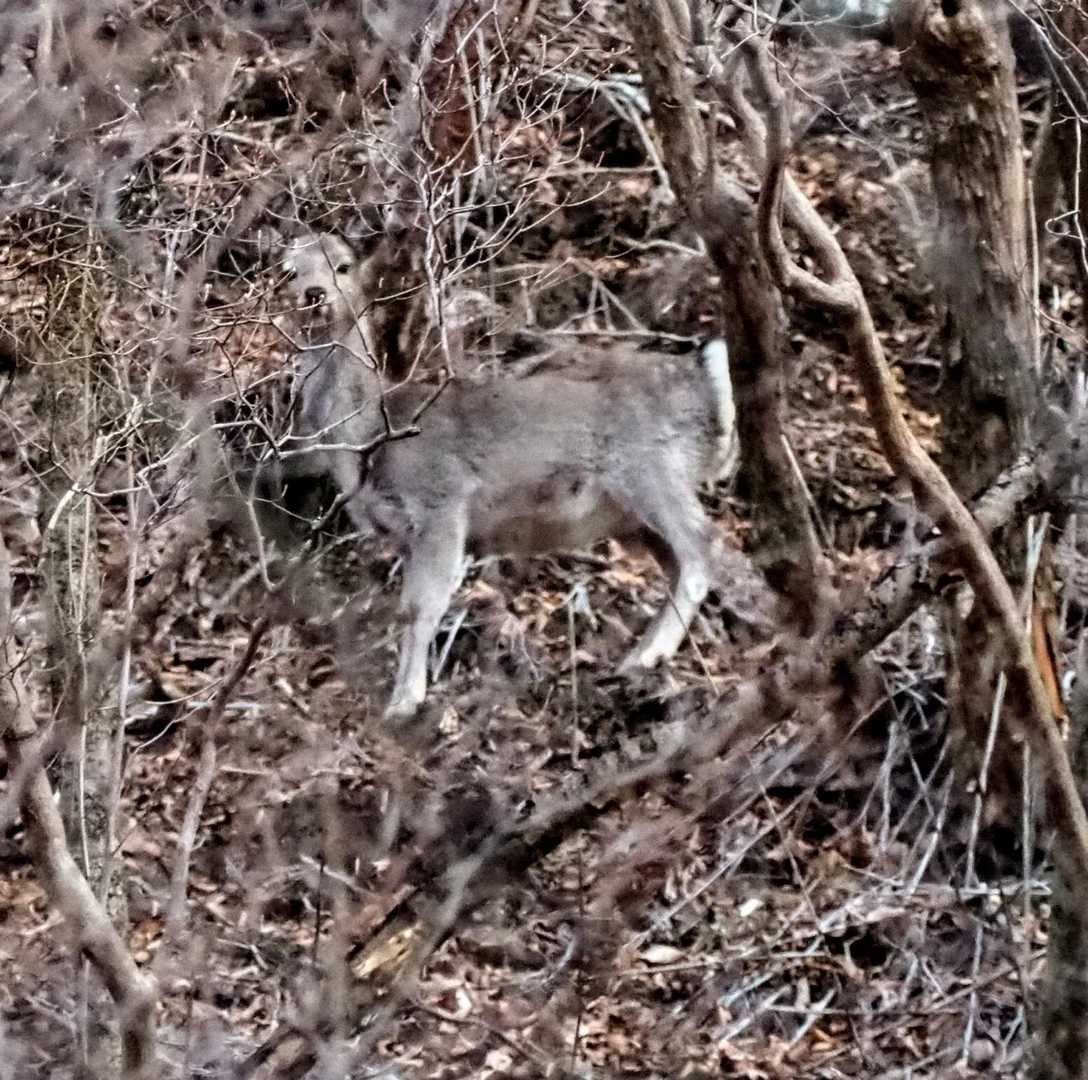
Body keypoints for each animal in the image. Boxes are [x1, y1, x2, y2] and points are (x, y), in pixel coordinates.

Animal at [278, 230, 739, 722]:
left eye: (342, 265)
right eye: (288, 270)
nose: (313, 294)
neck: (370, 442)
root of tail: (705, 389)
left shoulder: (442, 502)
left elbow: (421, 609)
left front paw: (404, 702)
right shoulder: (402, 534)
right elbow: (407, 609)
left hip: (650, 468)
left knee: (704, 544)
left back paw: (645, 656)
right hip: (633, 511)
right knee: (678, 561)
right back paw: (642, 656)